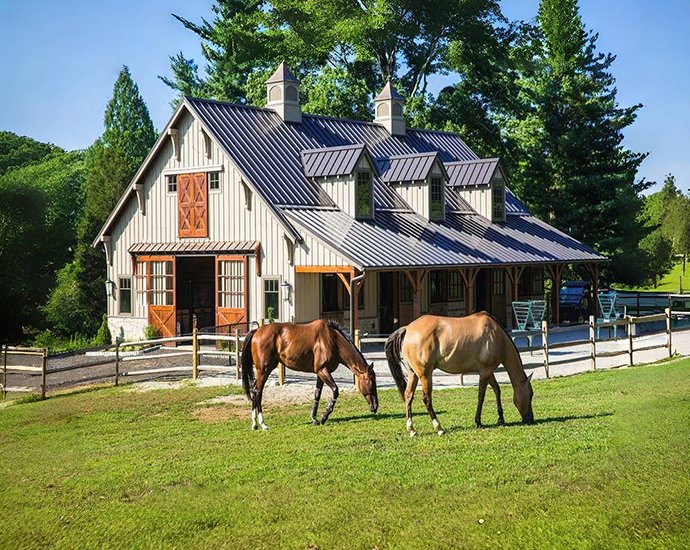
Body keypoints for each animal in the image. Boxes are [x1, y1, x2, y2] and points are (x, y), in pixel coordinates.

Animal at [241, 319, 378, 430]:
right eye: (372, 383)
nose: (375, 406)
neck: (332, 340)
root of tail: (256, 331)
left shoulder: (320, 373)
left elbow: (317, 394)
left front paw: (314, 418)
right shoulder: (323, 370)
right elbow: (335, 390)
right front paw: (324, 416)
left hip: (266, 370)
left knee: (256, 391)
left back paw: (256, 424)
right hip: (264, 370)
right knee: (257, 392)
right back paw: (261, 424)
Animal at [385, 312, 534, 437]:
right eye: (531, 394)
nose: (530, 419)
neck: (496, 336)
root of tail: (408, 329)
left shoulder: (488, 372)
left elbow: (497, 390)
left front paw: (500, 419)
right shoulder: (485, 372)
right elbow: (481, 396)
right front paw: (478, 421)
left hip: (413, 375)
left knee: (408, 396)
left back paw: (412, 430)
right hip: (425, 375)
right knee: (426, 399)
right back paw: (439, 428)